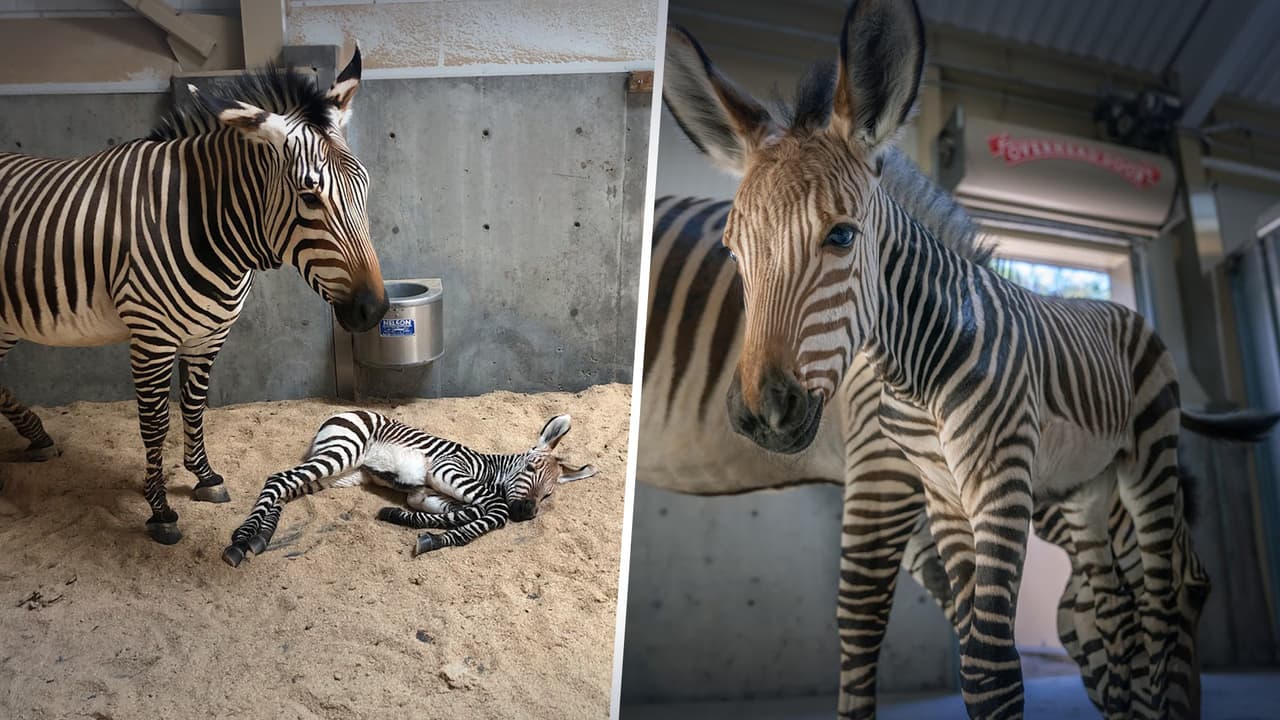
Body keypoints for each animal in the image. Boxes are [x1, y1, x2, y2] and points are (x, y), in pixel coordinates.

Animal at [0, 51, 389, 545]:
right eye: (309, 197)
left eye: (365, 186)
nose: (374, 310)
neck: (208, 224)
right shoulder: (151, 339)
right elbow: (155, 423)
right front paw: (161, 510)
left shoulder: (209, 333)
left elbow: (194, 403)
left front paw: (203, 476)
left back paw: (36, 435)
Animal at [222, 411, 597, 566]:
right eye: (530, 468)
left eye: (548, 495)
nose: (528, 513)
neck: (488, 470)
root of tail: (340, 412)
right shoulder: (449, 470)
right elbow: (494, 511)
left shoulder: (426, 494)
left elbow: (464, 513)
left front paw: (412, 524)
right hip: (343, 452)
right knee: (277, 479)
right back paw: (241, 538)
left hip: (343, 474)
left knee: (286, 489)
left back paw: (257, 538)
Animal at [659, 1, 1278, 717]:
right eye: (732, 251)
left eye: (841, 236)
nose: (763, 414)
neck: (913, 373)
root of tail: (1119, 308)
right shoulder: (941, 493)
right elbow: (970, 647)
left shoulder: (991, 479)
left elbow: (984, 664)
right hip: (1088, 490)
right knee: (1113, 608)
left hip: (1147, 461)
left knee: (1158, 599)